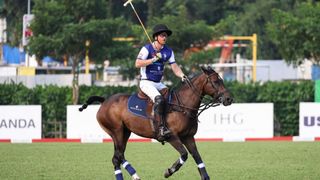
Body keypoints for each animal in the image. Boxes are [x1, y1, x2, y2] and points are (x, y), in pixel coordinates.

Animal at [78, 66, 232, 180]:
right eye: (216, 81)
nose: (229, 99)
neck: (183, 105)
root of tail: (104, 101)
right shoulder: (172, 137)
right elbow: (184, 154)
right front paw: (169, 171)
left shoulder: (188, 137)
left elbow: (197, 156)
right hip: (116, 131)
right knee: (118, 156)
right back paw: (135, 175)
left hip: (125, 132)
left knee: (117, 157)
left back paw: (134, 175)